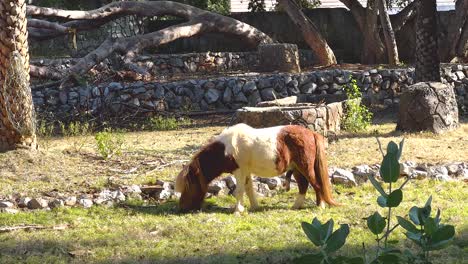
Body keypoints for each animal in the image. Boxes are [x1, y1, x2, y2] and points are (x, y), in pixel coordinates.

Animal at [176, 123, 340, 212]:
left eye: (188, 186)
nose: (182, 207)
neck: (226, 149)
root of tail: (311, 133)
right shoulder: (246, 172)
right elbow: (249, 189)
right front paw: (254, 207)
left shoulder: (239, 171)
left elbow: (240, 191)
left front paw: (238, 210)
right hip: (297, 169)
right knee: (303, 185)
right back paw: (296, 206)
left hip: (305, 167)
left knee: (316, 184)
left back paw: (320, 206)